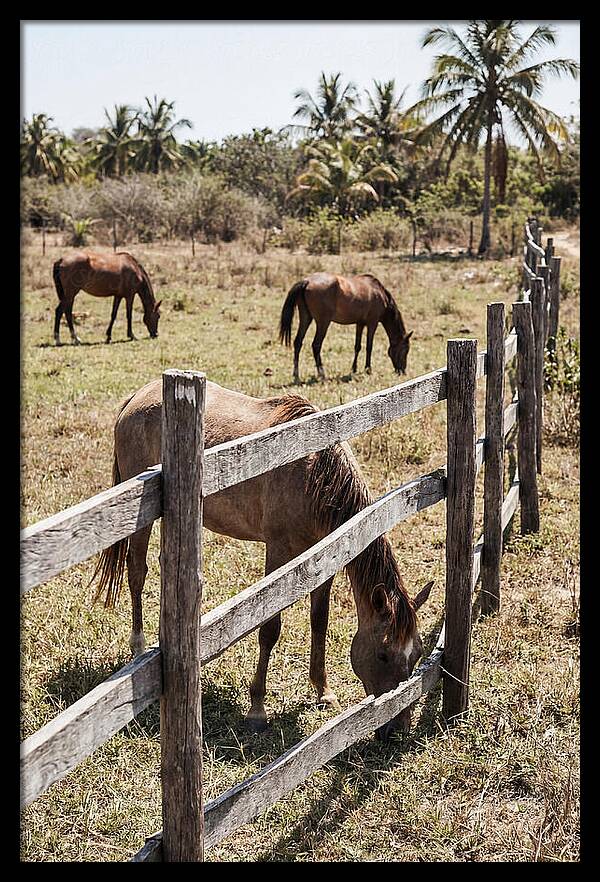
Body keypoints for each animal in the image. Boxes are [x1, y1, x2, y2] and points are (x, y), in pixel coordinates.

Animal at [93, 379, 433, 741]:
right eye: (383, 655)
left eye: (417, 655)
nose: (397, 729)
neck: (315, 473)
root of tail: (138, 396)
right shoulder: (278, 551)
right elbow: (270, 628)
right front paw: (257, 709)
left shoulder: (325, 555)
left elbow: (320, 621)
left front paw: (322, 691)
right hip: (139, 517)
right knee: (136, 573)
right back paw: (139, 648)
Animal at [279, 272, 413, 383]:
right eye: (405, 349)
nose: (402, 371)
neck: (379, 293)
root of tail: (307, 281)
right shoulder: (372, 323)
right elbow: (369, 347)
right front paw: (368, 369)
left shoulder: (360, 324)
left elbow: (357, 346)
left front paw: (354, 369)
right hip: (323, 323)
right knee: (316, 345)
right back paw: (322, 374)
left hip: (306, 318)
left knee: (298, 342)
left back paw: (296, 375)